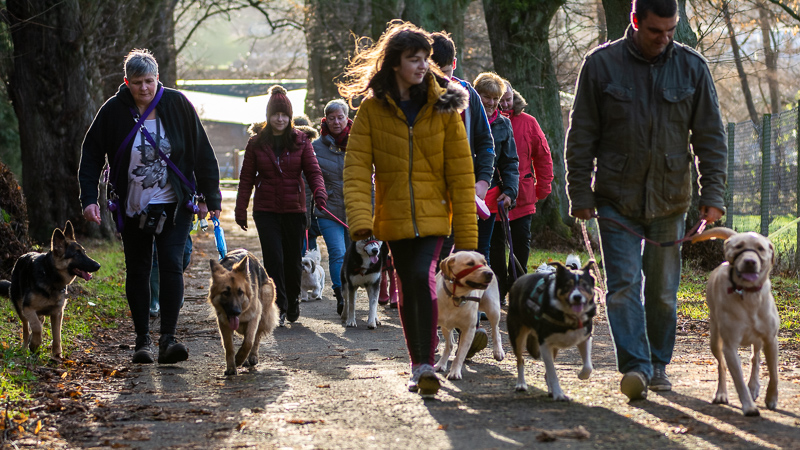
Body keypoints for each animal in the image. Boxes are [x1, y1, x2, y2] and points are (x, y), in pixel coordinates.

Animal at [0, 221, 100, 358]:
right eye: (77, 254)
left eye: (84, 252)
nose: (98, 265)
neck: (50, 275)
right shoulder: (28, 308)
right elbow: (37, 327)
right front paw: (35, 344)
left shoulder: (57, 313)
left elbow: (57, 336)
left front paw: (57, 355)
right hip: (21, 311)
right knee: (26, 329)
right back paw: (25, 347)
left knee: (38, 322)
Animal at [506, 260, 592, 400]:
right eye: (567, 285)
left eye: (585, 285)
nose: (577, 297)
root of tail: (518, 280)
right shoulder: (544, 343)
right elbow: (552, 373)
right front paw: (559, 393)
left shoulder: (584, 337)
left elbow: (588, 366)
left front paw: (581, 375)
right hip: (517, 334)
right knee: (520, 359)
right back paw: (521, 384)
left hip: (554, 347)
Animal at [692, 227, 780, 416]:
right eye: (739, 246)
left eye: (761, 248)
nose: (749, 261)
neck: (748, 294)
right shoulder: (730, 345)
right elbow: (737, 378)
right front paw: (748, 406)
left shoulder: (771, 339)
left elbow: (774, 373)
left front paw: (771, 398)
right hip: (715, 338)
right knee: (721, 366)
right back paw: (721, 393)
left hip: (758, 339)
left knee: (755, 357)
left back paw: (754, 386)